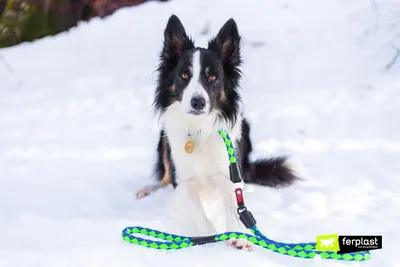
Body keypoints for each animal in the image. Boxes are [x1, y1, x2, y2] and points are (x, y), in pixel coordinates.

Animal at [136, 15, 298, 251]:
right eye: (184, 75)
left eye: (212, 77)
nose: (198, 102)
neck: (199, 128)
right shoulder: (183, 180)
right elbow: (198, 211)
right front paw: (212, 237)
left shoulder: (229, 173)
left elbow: (234, 206)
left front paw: (238, 237)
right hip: (163, 143)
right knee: (164, 179)